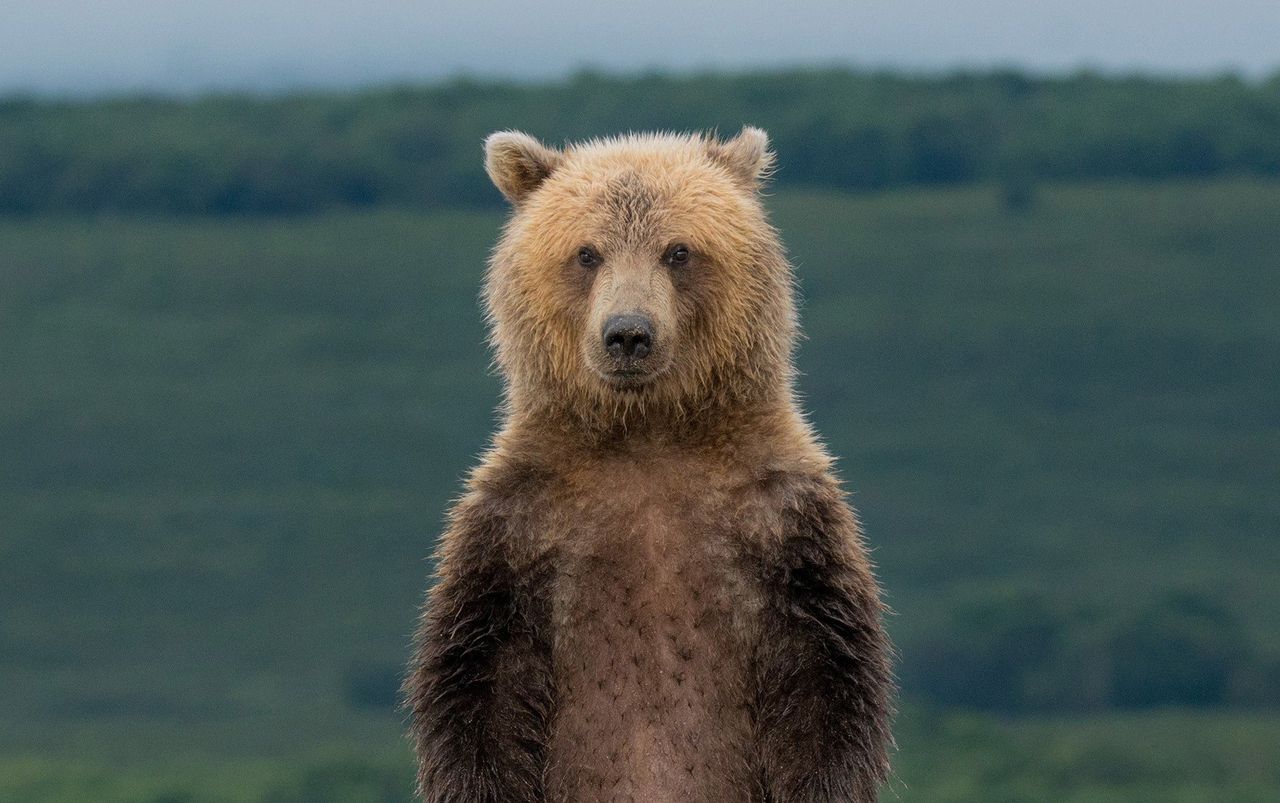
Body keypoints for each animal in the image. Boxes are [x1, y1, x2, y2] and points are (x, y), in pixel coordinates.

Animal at [404, 128, 896, 799]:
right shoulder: (520, 525)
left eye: (678, 251)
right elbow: (479, 685)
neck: (647, 434)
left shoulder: (781, 519)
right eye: (587, 253)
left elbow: (824, 682)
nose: (628, 334)